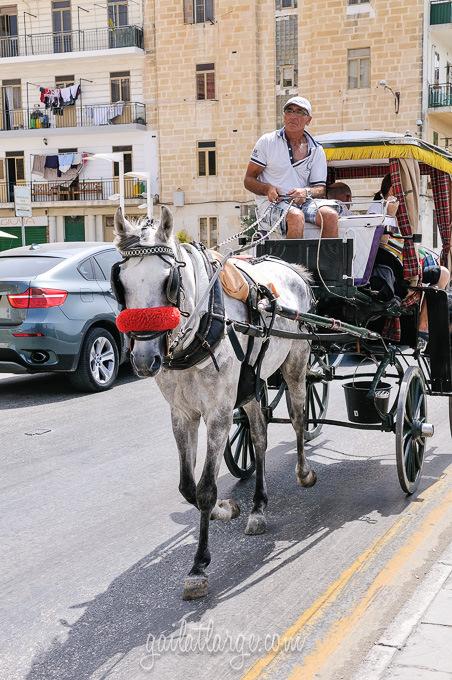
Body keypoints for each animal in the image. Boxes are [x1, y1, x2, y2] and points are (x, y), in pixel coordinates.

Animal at [115, 207, 316, 600]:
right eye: (122, 283)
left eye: (169, 282)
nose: (144, 360)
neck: (204, 324)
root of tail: (290, 268)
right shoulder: (183, 414)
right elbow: (187, 487)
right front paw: (228, 508)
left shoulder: (219, 413)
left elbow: (206, 489)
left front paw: (198, 566)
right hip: (251, 385)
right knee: (259, 437)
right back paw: (258, 507)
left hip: (296, 363)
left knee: (299, 418)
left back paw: (303, 472)